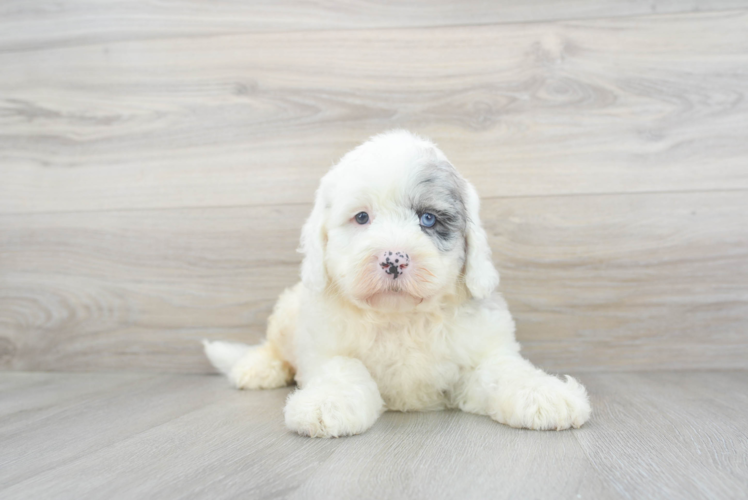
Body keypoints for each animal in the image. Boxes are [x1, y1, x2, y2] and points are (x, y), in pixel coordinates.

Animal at [205, 130, 592, 438]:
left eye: (428, 219)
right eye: (362, 217)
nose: (394, 260)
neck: (400, 318)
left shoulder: (480, 352)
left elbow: (505, 371)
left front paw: (544, 394)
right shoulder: (324, 348)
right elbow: (344, 369)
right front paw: (326, 403)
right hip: (288, 312)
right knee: (272, 346)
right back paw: (257, 368)